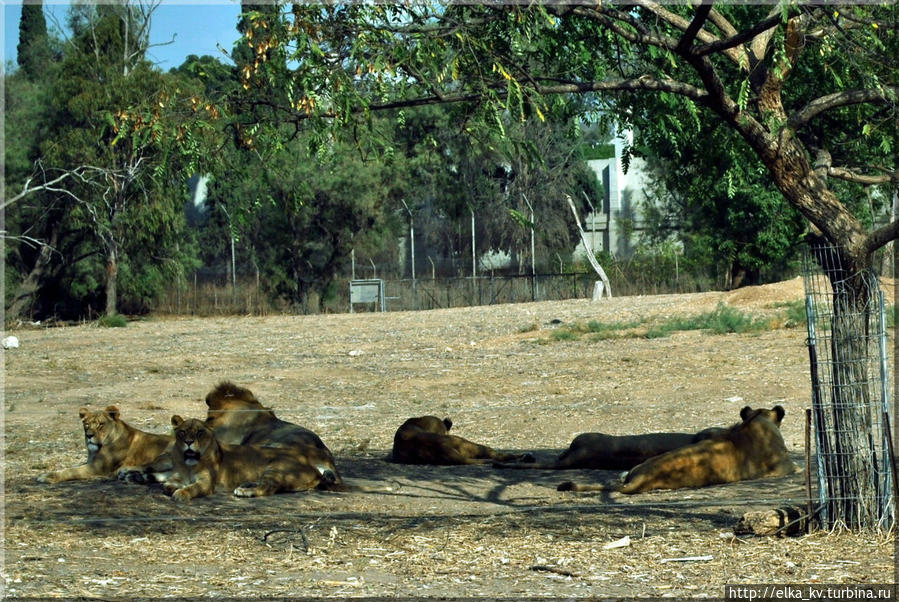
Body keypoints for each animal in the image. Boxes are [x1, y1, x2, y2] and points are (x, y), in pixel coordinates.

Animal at [37, 404, 174, 482]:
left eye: (100, 424)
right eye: (86, 424)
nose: (89, 435)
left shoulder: (95, 467)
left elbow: (71, 471)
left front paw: (47, 476)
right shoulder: (90, 462)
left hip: (163, 457)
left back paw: (125, 472)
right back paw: (131, 476)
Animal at [163, 412, 338, 502]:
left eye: (200, 432)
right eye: (182, 432)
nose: (189, 442)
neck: (188, 464)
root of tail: (313, 468)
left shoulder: (206, 483)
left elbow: (192, 487)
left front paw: (181, 493)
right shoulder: (176, 476)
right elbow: (167, 485)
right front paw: (174, 488)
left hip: (276, 468)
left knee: (269, 488)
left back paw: (245, 491)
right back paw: (246, 485)